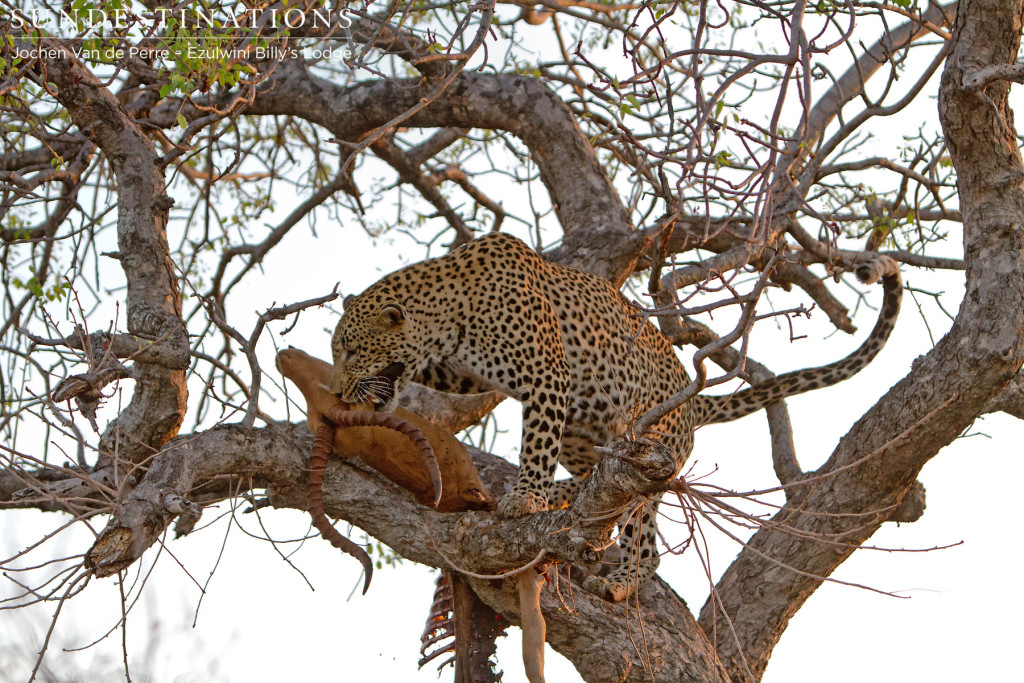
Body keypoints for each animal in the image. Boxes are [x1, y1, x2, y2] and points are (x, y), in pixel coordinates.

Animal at [331, 232, 901, 602]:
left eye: (352, 350)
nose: (338, 388)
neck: (449, 311)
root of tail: (692, 401)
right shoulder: (464, 372)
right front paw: (536, 496)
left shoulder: (547, 373)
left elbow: (535, 443)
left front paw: (526, 499)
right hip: (587, 437)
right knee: (592, 478)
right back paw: (568, 496)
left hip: (645, 454)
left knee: (644, 541)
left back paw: (619, 580)